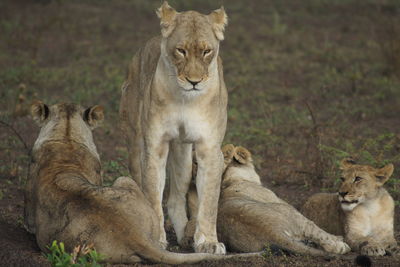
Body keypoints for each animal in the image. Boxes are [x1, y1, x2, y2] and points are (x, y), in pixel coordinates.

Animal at [119, 1, 228, 254]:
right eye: (181, 51)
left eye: (207, 51)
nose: (194, 82)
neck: (185, 99)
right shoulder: (155, 148)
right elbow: (152, 198)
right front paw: (156, 240)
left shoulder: (209, 149)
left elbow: (209, 202)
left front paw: (208, 242)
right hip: (135, 145)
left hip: (183, 158)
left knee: (175, 199)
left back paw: (185, 238)